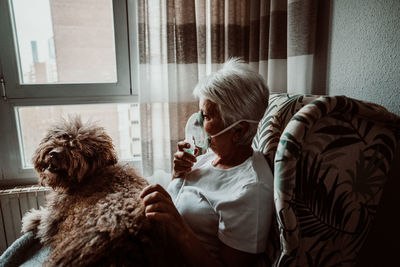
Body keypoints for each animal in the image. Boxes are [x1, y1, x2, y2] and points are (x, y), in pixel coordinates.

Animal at [22, 118, 182, 266]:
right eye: (61, 136)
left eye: (77, 146)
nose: (54, 154)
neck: (91, 174)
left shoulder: (52, 221)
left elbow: (42, 221)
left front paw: (31, 217)